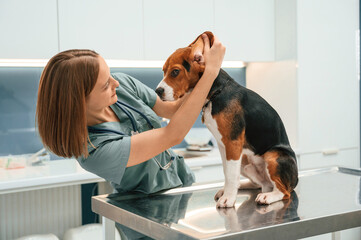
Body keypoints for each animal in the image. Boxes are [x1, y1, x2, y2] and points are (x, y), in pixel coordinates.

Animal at [155, 32, 298, 208]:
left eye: (175, 72)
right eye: (163, 71)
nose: (157, 91)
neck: (216, 93)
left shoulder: (232, 143)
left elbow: (230, 174)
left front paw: (228, 198)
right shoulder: (223, 145)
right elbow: (226, 172)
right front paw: (228, 192)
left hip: (273, 156)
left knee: (284, 191)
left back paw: (268, 197)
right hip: (244, 159)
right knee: (263, 184)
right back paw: (242, 186)